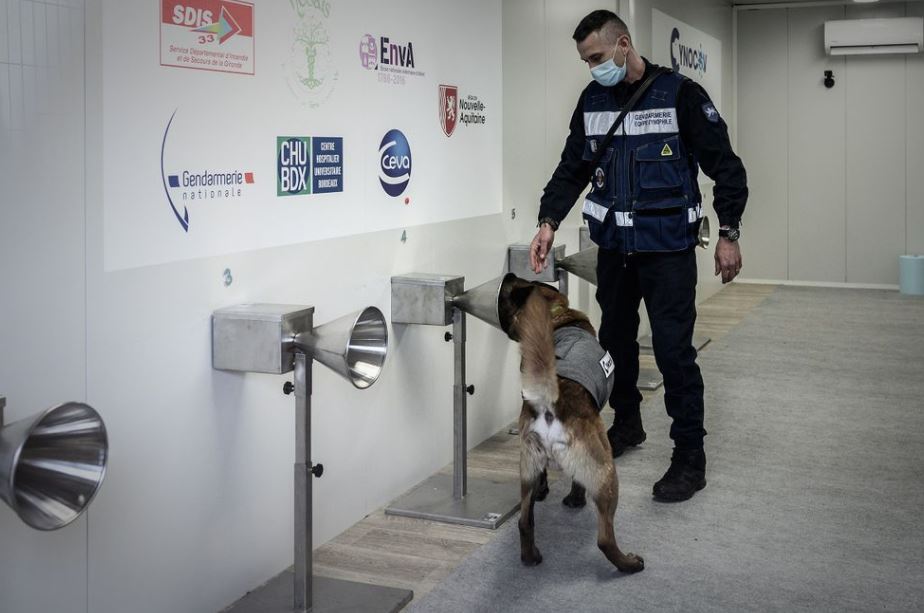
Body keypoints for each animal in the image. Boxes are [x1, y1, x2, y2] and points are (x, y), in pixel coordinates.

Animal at [498, 274, 644, 572]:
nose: (508, 275)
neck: (557, 317)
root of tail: (549, 404)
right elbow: (577, 482)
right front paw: (576, 499)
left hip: (527, 468)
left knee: (524, 521)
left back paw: (530, 557)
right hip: (605, 473)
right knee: (604, 538)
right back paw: (628, 564)